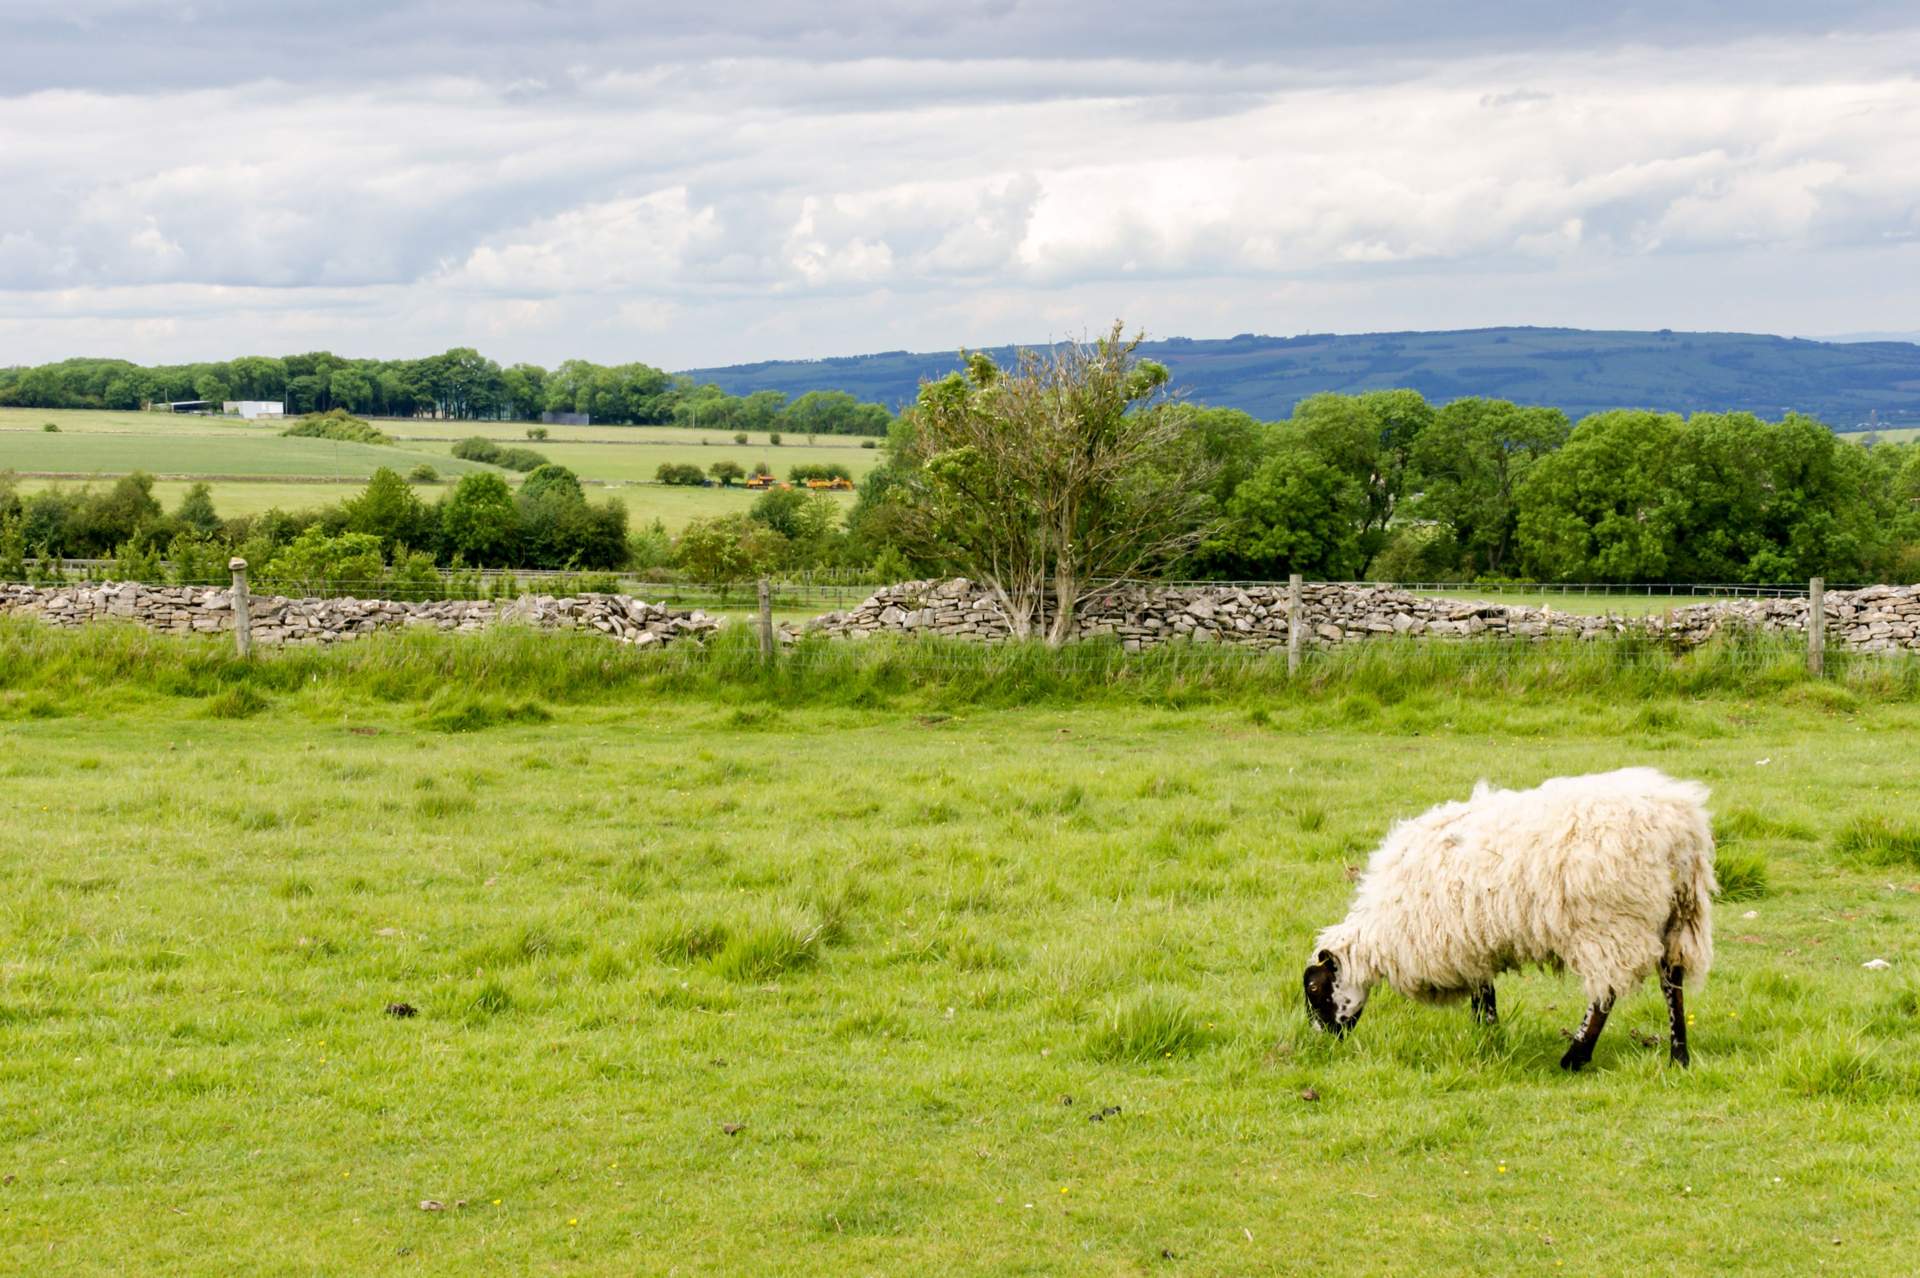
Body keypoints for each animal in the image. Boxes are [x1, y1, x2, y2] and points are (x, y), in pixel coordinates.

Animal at [1297, 759, 1720, 1066]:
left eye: (1315, 988)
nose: (1323, 1041)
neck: (1382, 930)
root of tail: (1680, 826)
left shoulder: (1458, 937)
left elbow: (1483, 991)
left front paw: (1486, 1029)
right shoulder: (1471, 936)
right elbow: (1484, 990)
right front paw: (1487, 1032)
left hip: (1609, 922)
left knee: (1607, 992)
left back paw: (1576, 1056)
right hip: (1679, 915)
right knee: (1672, 981)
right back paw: (1678, 1055)